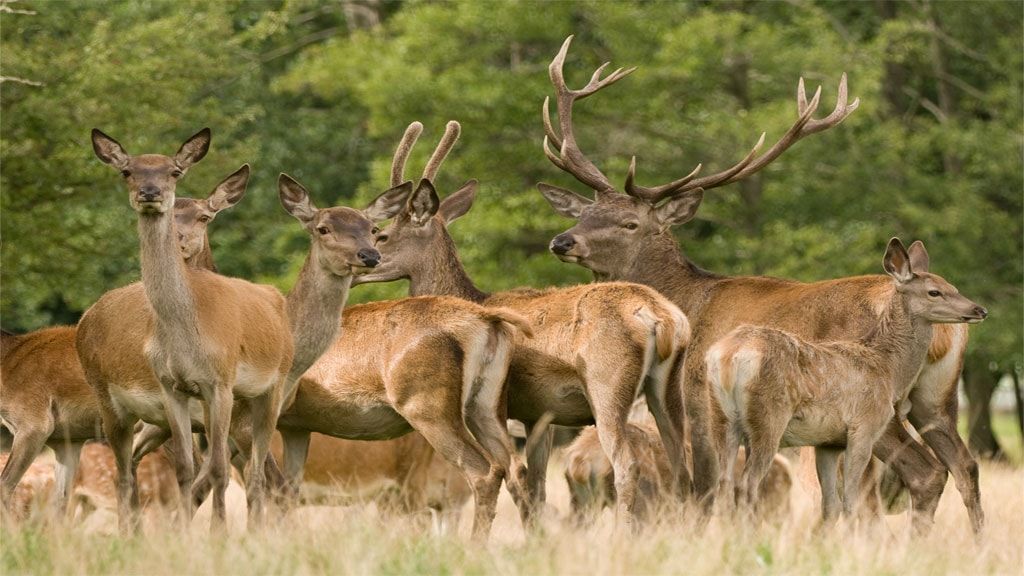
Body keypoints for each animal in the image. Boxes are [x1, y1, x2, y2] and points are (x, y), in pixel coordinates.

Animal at [0, 172, 248, 519]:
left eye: (204, 216)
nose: (179, 242)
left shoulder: (32, 420)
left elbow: (6, 487)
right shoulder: (66, 437)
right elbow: (59, 504)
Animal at [352, 120, 692, 530]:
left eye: (381, 234)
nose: (359, 265)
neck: (474, 297)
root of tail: (662, 317)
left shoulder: (503, 405)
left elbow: (517, 480)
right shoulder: (537, 412)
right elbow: (537, 485)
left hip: (607, 385)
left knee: (626, 465)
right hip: (668, 387)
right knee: (683, 466)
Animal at [705, 238, 986, 520]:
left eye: (954, 287)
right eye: (934, 292)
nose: (979, 309)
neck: (888, 368)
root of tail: (726, 357)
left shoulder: (828, 442)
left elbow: (831, 505)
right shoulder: (864, 427)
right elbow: (851, 501)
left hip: (723, 419)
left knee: (723, 483)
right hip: (768, 419)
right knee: (747, 483)